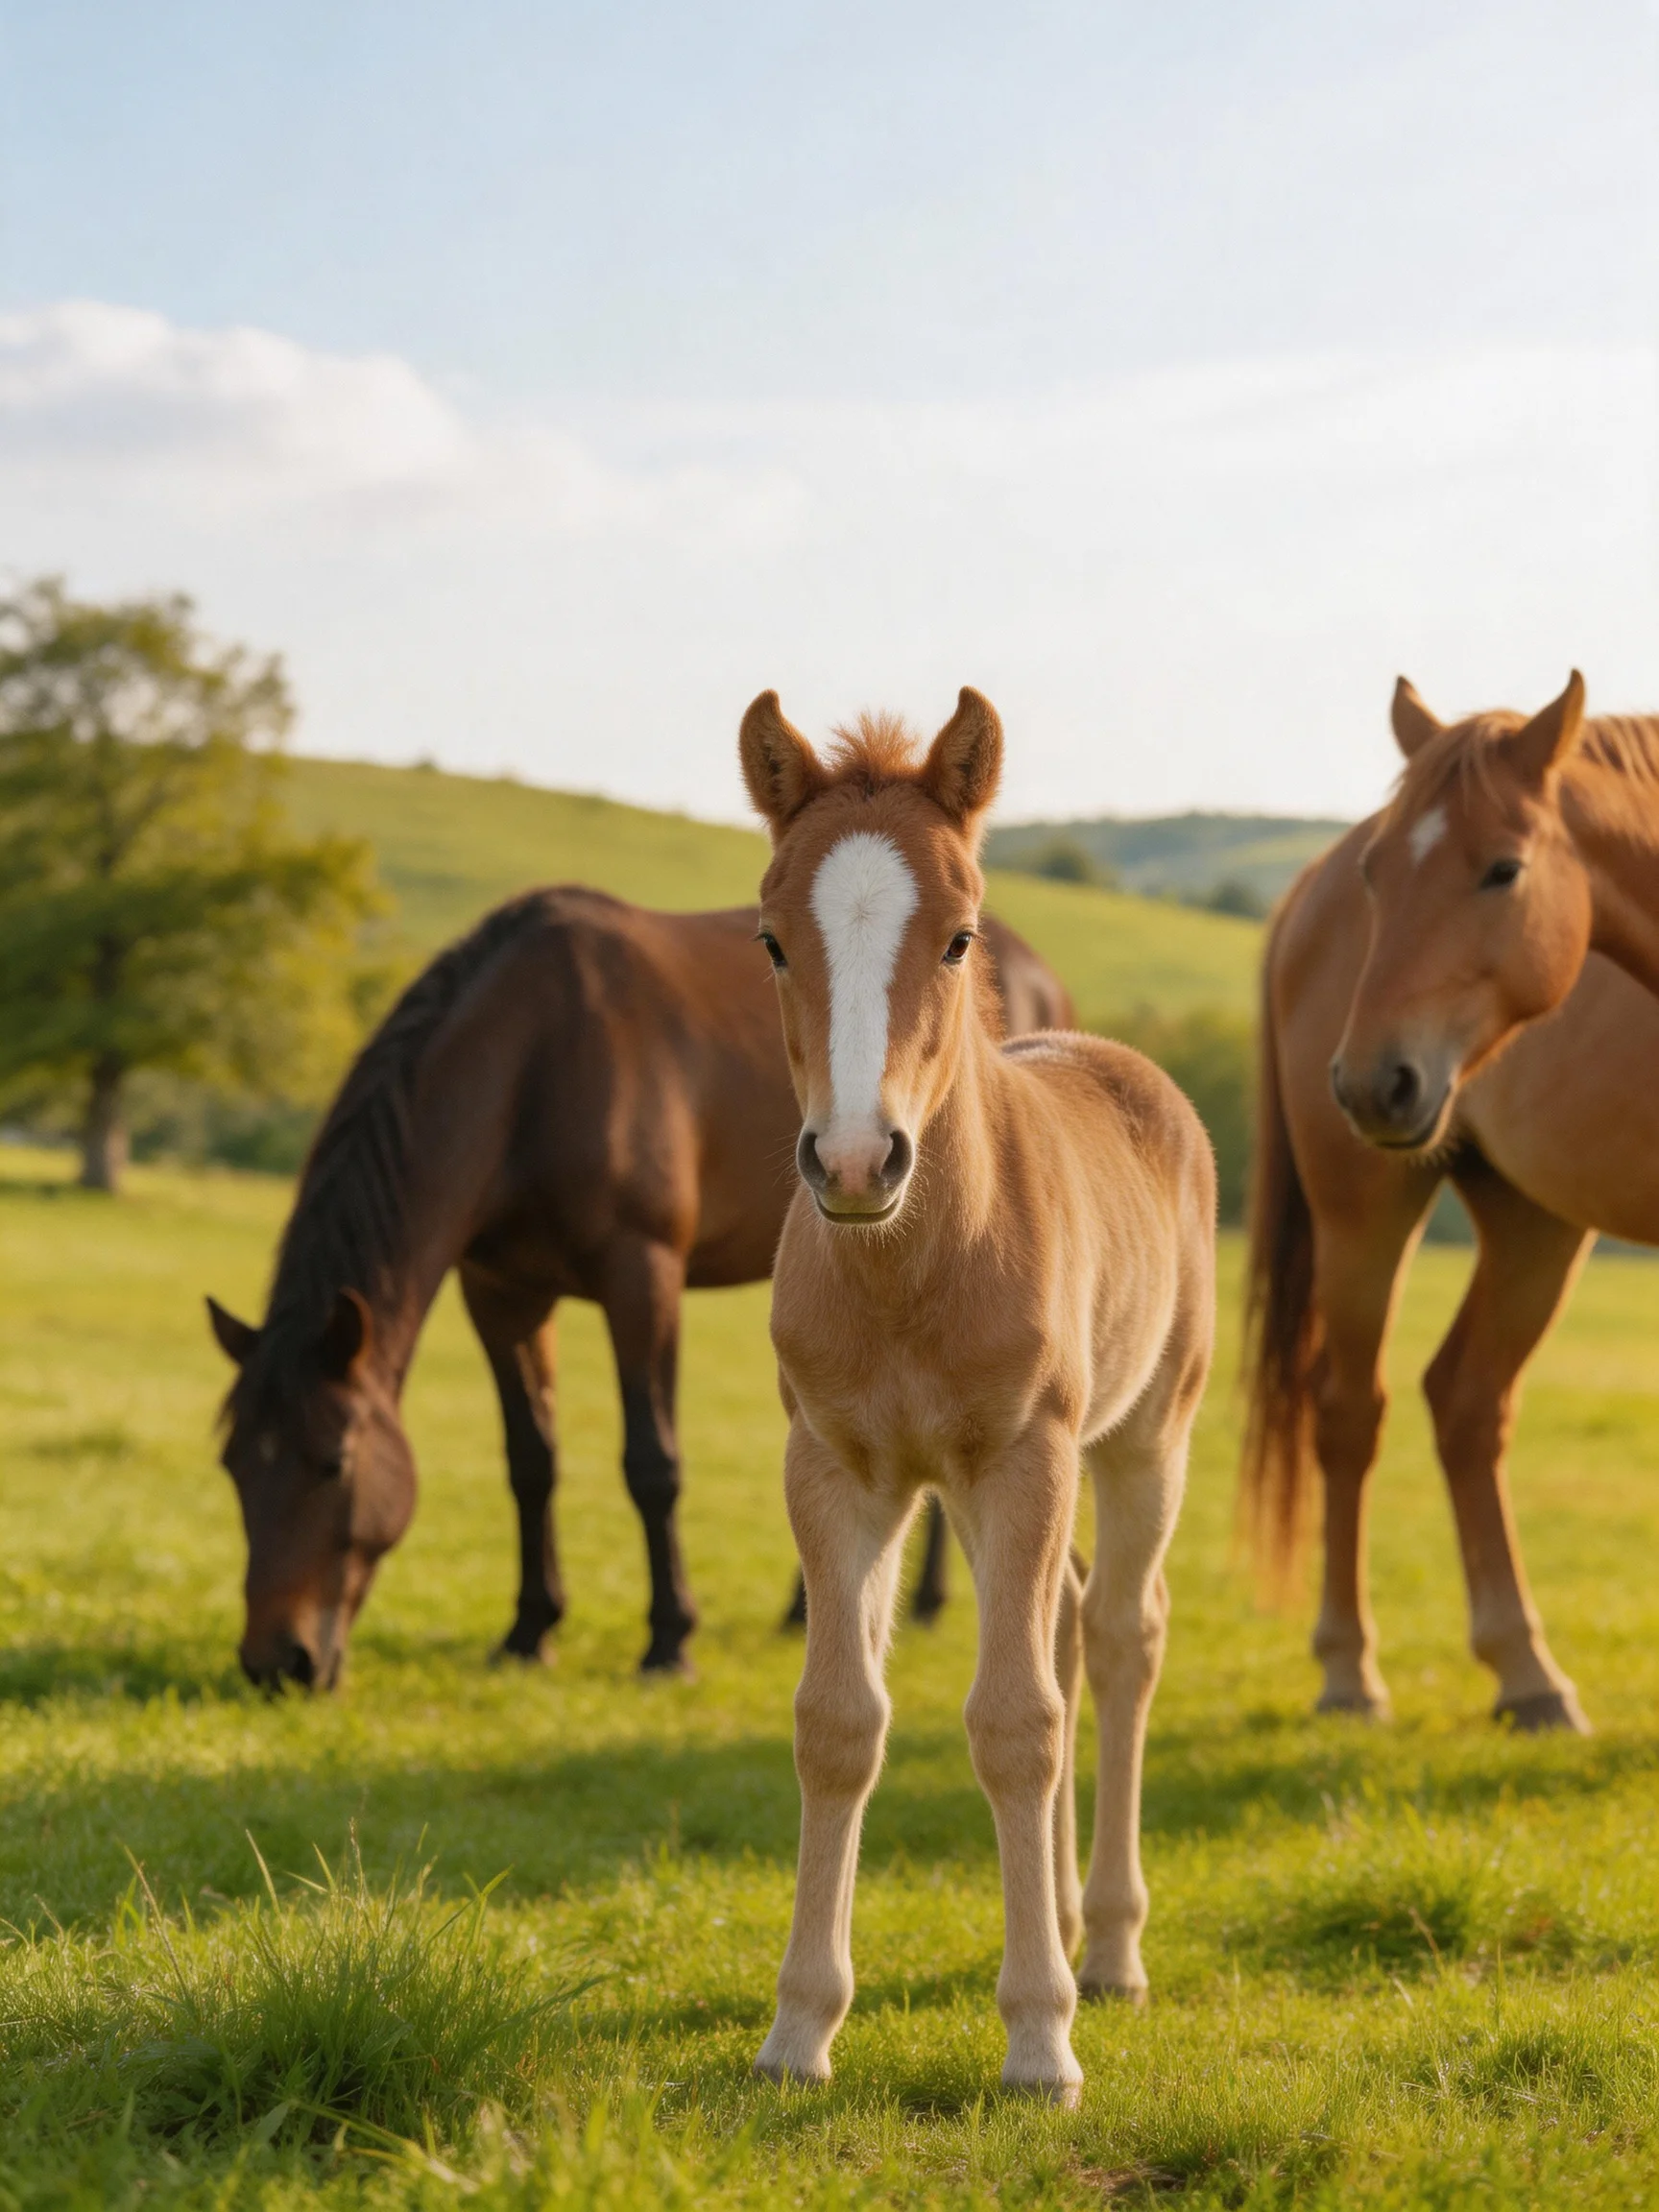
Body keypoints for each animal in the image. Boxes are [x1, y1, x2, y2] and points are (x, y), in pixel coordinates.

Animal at [206, 885, 1070, 1690]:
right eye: (235, 1466)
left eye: (333, 1463)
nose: (276, 1664)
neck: (534, 1062)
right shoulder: (502, 1295)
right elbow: (531, 1460)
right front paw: (529, 1631)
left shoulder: (642, 1276)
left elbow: (652, 1464)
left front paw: (667, 1641)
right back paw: (820, 1609)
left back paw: (923, 1605)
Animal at [739, 688, 1214, 2105]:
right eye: (770, 939)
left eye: (958, 937)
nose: (854, 1161)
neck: (912, 1263)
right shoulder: (837, 1470)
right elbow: (839, 1722)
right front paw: (799, 2029)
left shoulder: (1024, 1459)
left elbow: (1016, 1724)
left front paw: (1041, 2043)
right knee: (1057, 1625)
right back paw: (1052, 1915)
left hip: (1143, 1438)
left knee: (1115, 1637)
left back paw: (1104, 1948)